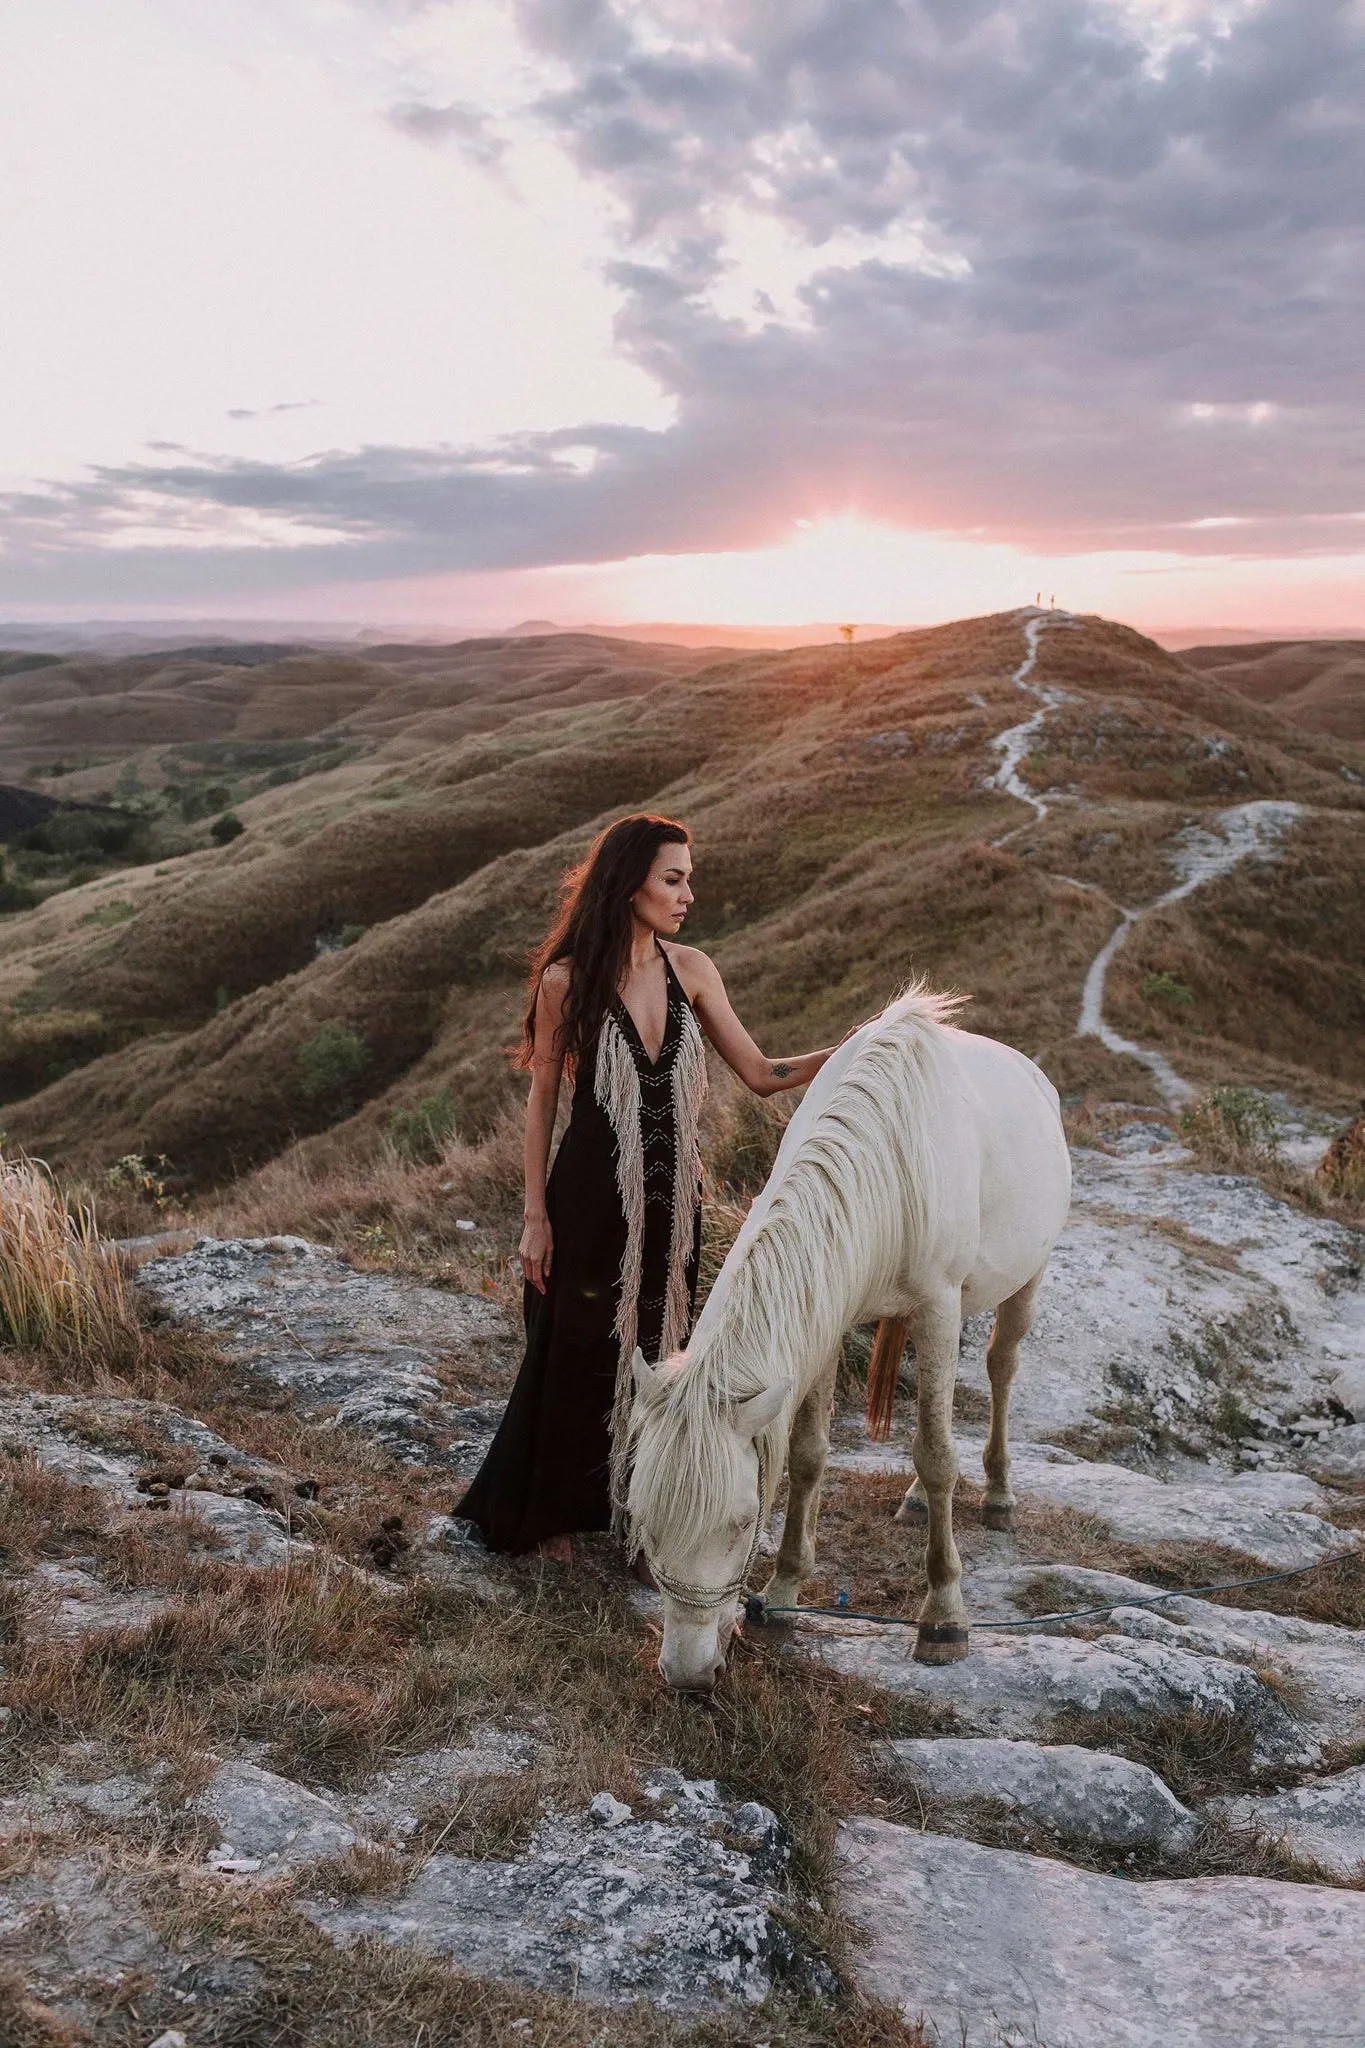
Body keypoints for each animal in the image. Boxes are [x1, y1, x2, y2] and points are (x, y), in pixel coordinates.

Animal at [626, 983, 1072, 1687]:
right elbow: (809, 1454)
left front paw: (943, 1616)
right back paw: (918, 1502)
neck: (885, 1158)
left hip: (1024, 1281)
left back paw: (999, 1496)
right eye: (644, 1518)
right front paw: (783, 1593)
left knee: (1001, 1368)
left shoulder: (938, 1305)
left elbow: (937, 1454)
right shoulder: (828, 1317)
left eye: (741, 1523)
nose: (688, 1672)